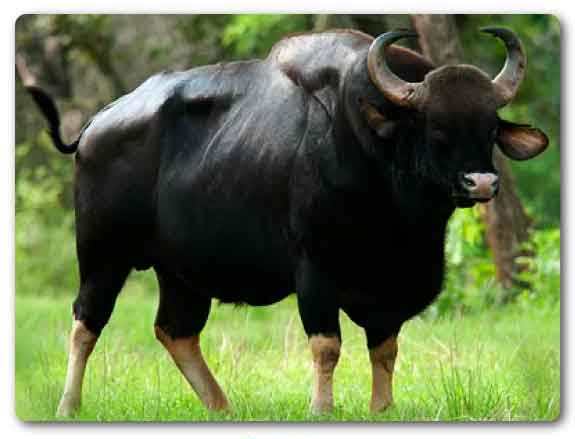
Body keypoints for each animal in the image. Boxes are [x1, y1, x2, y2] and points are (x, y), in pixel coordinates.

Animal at [22, 28, 552, 416]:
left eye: (489, 127)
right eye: (436, 128)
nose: (481, 183)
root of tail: (96, 125)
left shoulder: (391, 286)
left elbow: (385, 349)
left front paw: (382, 409)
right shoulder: (315, 270)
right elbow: (327, 345)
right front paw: (322, 409)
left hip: (181, 272)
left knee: (176, 330)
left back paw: (222, 407)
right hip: (102, 254)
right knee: (86, 322)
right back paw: (69, 406)